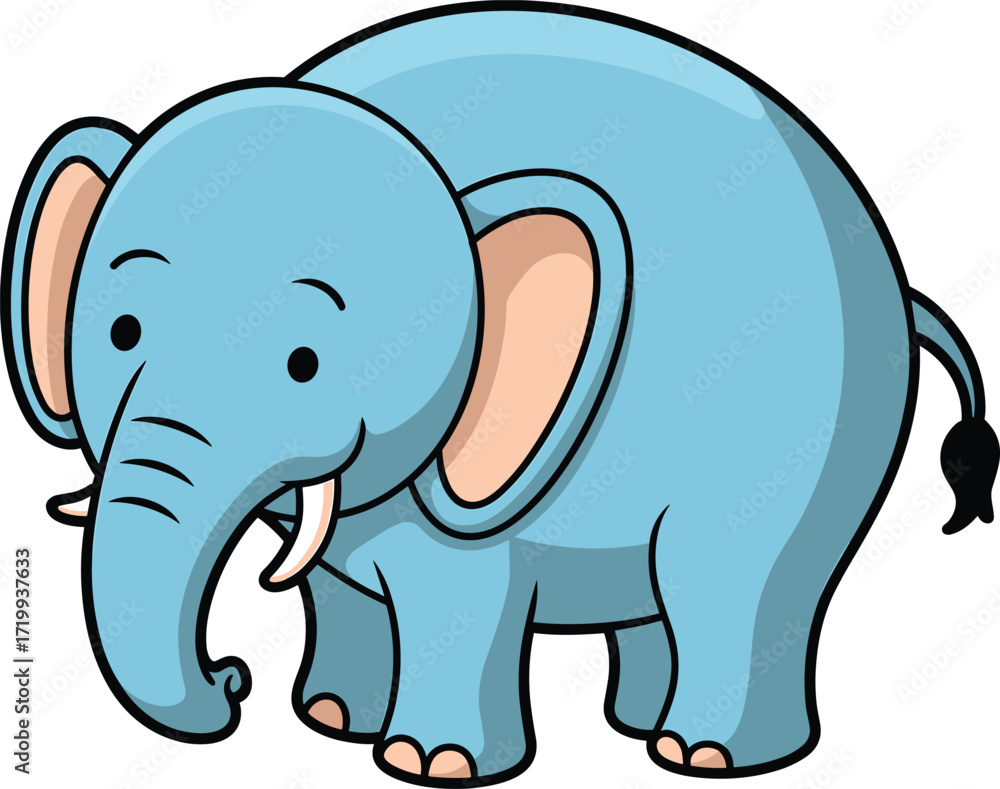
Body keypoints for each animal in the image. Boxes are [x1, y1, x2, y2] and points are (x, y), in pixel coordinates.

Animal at [4, 3, 998, 784]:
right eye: (122, 334)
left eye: (304, 362)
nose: (232, 677)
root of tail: (896, 282)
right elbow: (336, 582)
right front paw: (330, 719)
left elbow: (456, 595)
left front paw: (429, 764)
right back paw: (639, 725)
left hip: (805, 445)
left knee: (729, 579)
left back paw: (700, 754)